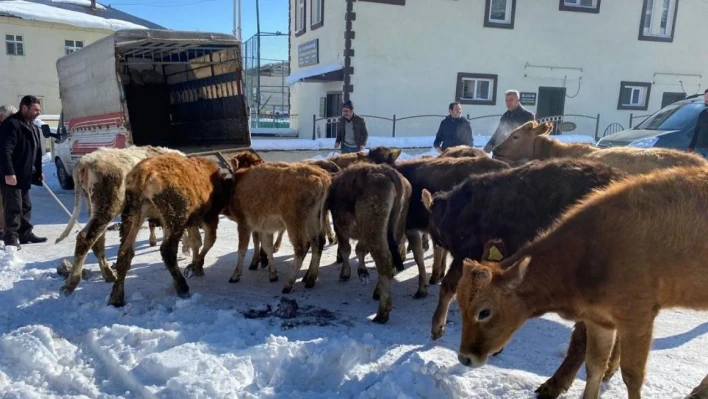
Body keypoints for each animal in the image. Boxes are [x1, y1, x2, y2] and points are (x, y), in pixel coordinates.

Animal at [106, 153, 231, 306]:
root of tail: (143, 172)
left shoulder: (190, 223)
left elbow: (196, 242)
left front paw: (196, 266)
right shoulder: (210, 217)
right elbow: (209, 241)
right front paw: (196, 267)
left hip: (133, 215)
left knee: (125, 251)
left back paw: (116, 297)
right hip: (175, 219)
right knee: (167, 250)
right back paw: (182, 287)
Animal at [223, 155, 330, 296]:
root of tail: (321, 177)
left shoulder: (244, 224)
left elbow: (242, 249)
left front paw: (235, 275)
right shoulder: (265, 227)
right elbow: (267, 246)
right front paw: (272, 274)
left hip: (294, 222)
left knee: (302, 246)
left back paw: (288, 285)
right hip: (314, 218)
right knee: (317, 243)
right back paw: (310, 280)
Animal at [330, 164, 412, 324]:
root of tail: (387, 171)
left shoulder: (339, 227)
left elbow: (346, 249)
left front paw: (345, 273)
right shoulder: (362, 234)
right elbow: (359, 249)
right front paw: (362, 271)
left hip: (374, 230)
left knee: (384, 261)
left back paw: (382, 313)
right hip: (395, 227)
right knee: (391, 259)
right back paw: (378, 291)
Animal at [454, 166, 708, 399]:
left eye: (484, 312)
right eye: (461, 306)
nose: (465, 357)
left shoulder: (637, 318)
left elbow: (632, 376)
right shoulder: (599, 321)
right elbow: (594, 367)